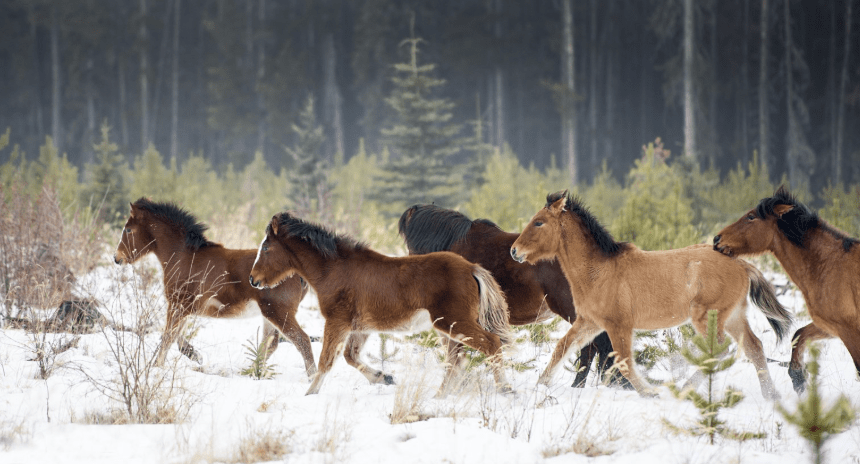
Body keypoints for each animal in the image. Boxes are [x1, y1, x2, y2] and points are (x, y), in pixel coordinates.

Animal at [114, 198, 316, 377]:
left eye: (128, 229)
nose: (117, 258)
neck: (184, 257)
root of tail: (298, 273)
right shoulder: (185, 308)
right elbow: (176, 337)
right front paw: (194, 355)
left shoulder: (178, 305)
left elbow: (167, 337)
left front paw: (157, 366)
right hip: (269, 314)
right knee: (271, 343)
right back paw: (251, 372)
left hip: (278, 312)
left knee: (302, 341)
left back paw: (311, 379)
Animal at [248, 211, 514, 396]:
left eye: (266, 247)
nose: (253, 279)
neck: (334, 270)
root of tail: (472, 269)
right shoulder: (361, 327)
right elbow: (350, 357)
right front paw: (384, 377)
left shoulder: (337, 321)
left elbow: (326, 361)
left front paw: (310, 393)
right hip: (446, 328)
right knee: (455, 360)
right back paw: (440, 397)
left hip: (455, 323)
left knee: (490, 344)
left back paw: (506, 389)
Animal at [510, 191, 793, 399]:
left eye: (539, 222)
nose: (514, 251)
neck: (598, 271)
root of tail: (742, 264)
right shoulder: (589, 322)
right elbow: (562, 348)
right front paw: (541, 384)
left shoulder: (619, 325)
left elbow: (624, 362)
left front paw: (649, 391)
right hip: (734, 317)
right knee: (754, 347)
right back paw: (771, 395)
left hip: (708, 317)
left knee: (721, 349)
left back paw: (686, 387)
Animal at [714, 185, 860, 394]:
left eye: (751, 217)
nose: (717, 239)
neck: (829, 265)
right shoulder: (830, 326)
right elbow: (799, 335)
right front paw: (798, 378)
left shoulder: (849, 330)